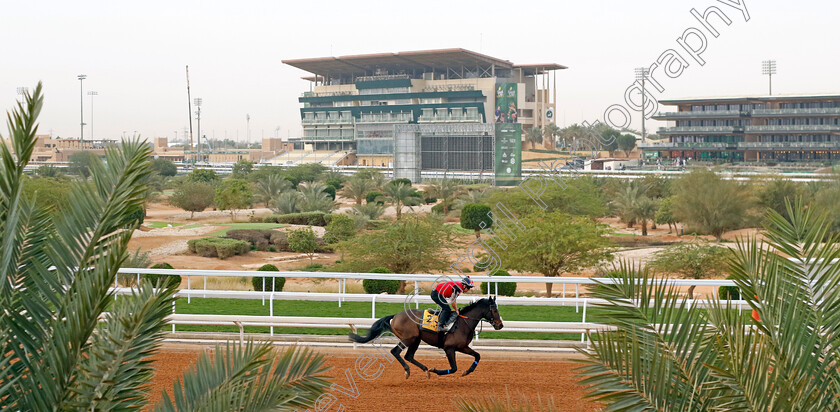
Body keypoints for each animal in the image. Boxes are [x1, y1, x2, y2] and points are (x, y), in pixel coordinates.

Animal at [350, 296, 506, 380]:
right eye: (494, 310)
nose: (500, 325)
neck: (463, 323)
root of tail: (395, 316)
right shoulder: (449, 348)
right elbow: (454, 368)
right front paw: (435, 370)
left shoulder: (462, 347)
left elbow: (478, 355)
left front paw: (467, 371)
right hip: (409, 339)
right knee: (396, 352)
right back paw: (408, 371)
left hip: (416, 340)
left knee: (409, 356)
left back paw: (425, 370)